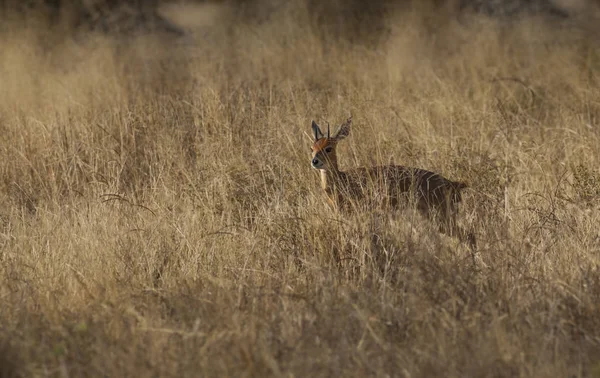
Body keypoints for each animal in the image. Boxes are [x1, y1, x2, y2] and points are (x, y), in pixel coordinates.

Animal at [312, 117, 476, 248]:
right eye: (312, 147)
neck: (341, 180)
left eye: (328, 148)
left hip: (440, 217)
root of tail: (452, 183)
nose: (315, 161)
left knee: (470, 235)